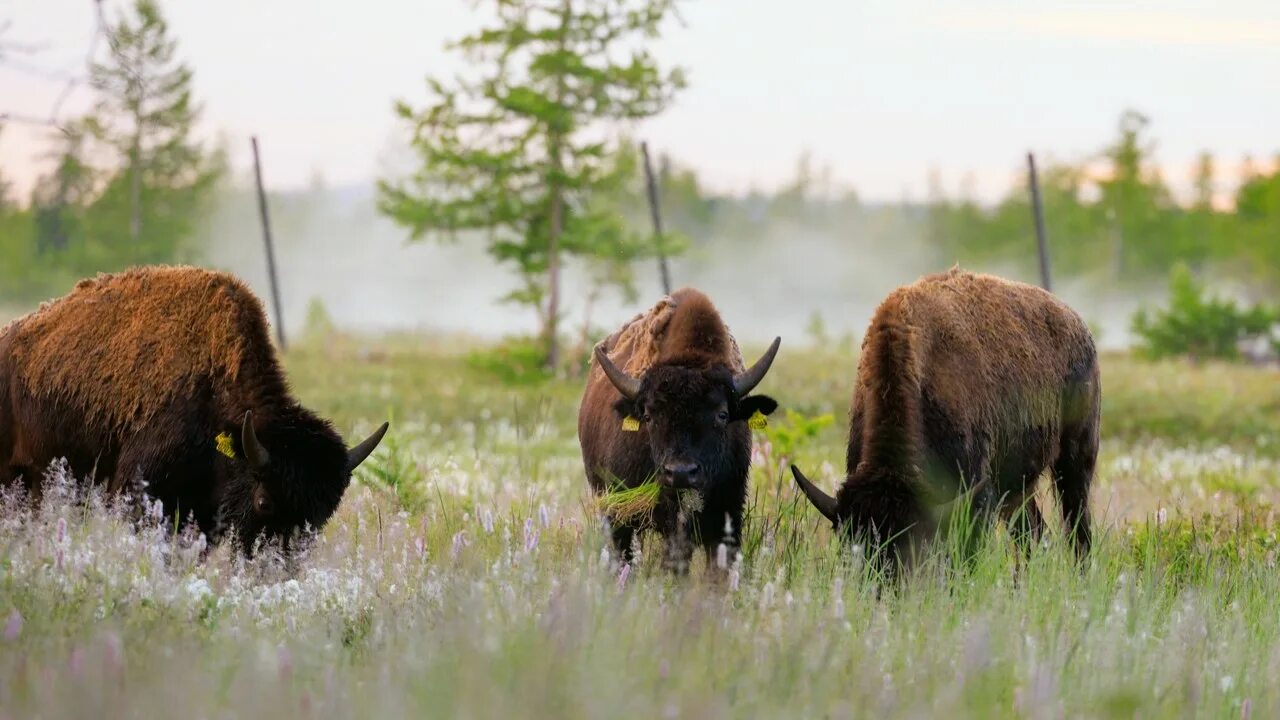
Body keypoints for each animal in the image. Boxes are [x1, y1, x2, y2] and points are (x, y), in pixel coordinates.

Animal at [788, 266, 1100, 568]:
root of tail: (1080, 327)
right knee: (1034, 533)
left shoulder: (976, 494)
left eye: (912, 546)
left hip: (1076, 460)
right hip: (1019, 486)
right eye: (848, 546)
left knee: (1078, 532)